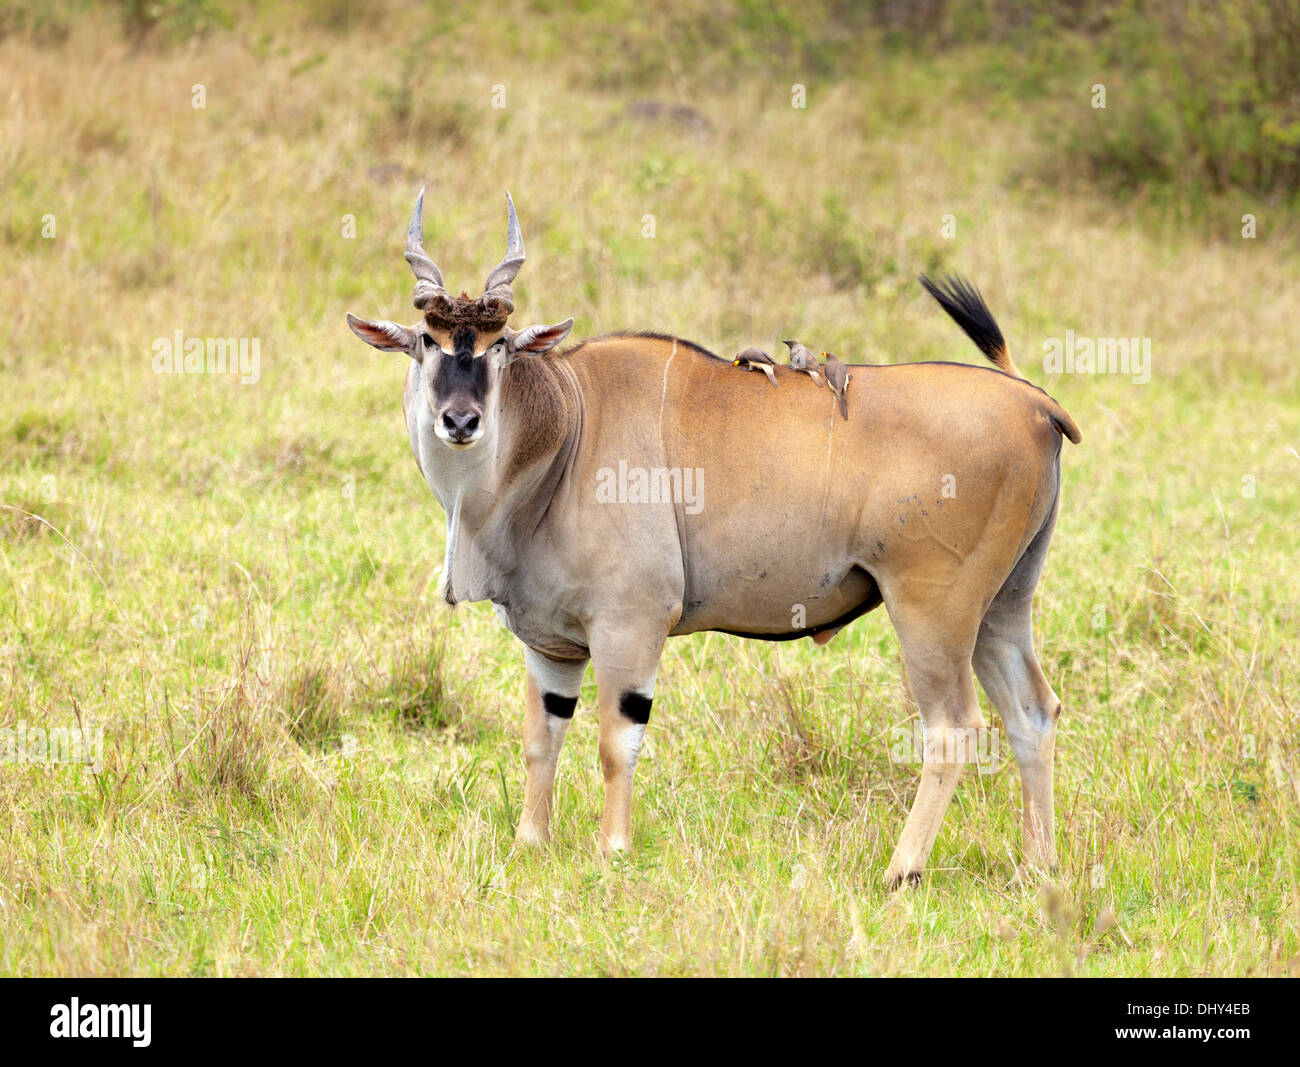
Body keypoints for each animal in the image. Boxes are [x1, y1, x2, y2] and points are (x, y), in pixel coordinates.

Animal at [343, 189, 1076, 883]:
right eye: (429, 340)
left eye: (497, 344)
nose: (460, 420)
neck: (566, 423)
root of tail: (1033, 402)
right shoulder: (550, 646)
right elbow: (540, 739)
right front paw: (530, 843)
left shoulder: (631, 625)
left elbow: (616, 742)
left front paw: (612, 850)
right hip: (1002, 607)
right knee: (1032, 711)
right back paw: (1039, 866)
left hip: (933, 610)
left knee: (954, 726)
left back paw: (902, 869)